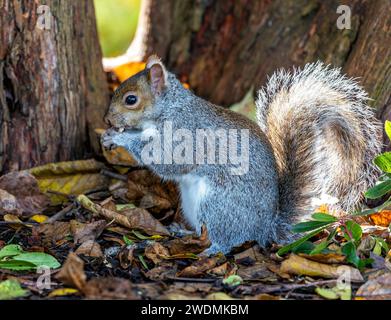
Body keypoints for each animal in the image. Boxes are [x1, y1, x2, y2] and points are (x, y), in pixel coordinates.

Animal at [102, 55, 384, 255]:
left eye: (130, 99)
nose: (107, 119)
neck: (170, 108)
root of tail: (265, 229)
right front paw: (109, 134)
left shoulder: (184, 135)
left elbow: (165, 161)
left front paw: (120, 138)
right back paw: (186, 233)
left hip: (217, 206)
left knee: (227, 240)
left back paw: (211, 250)